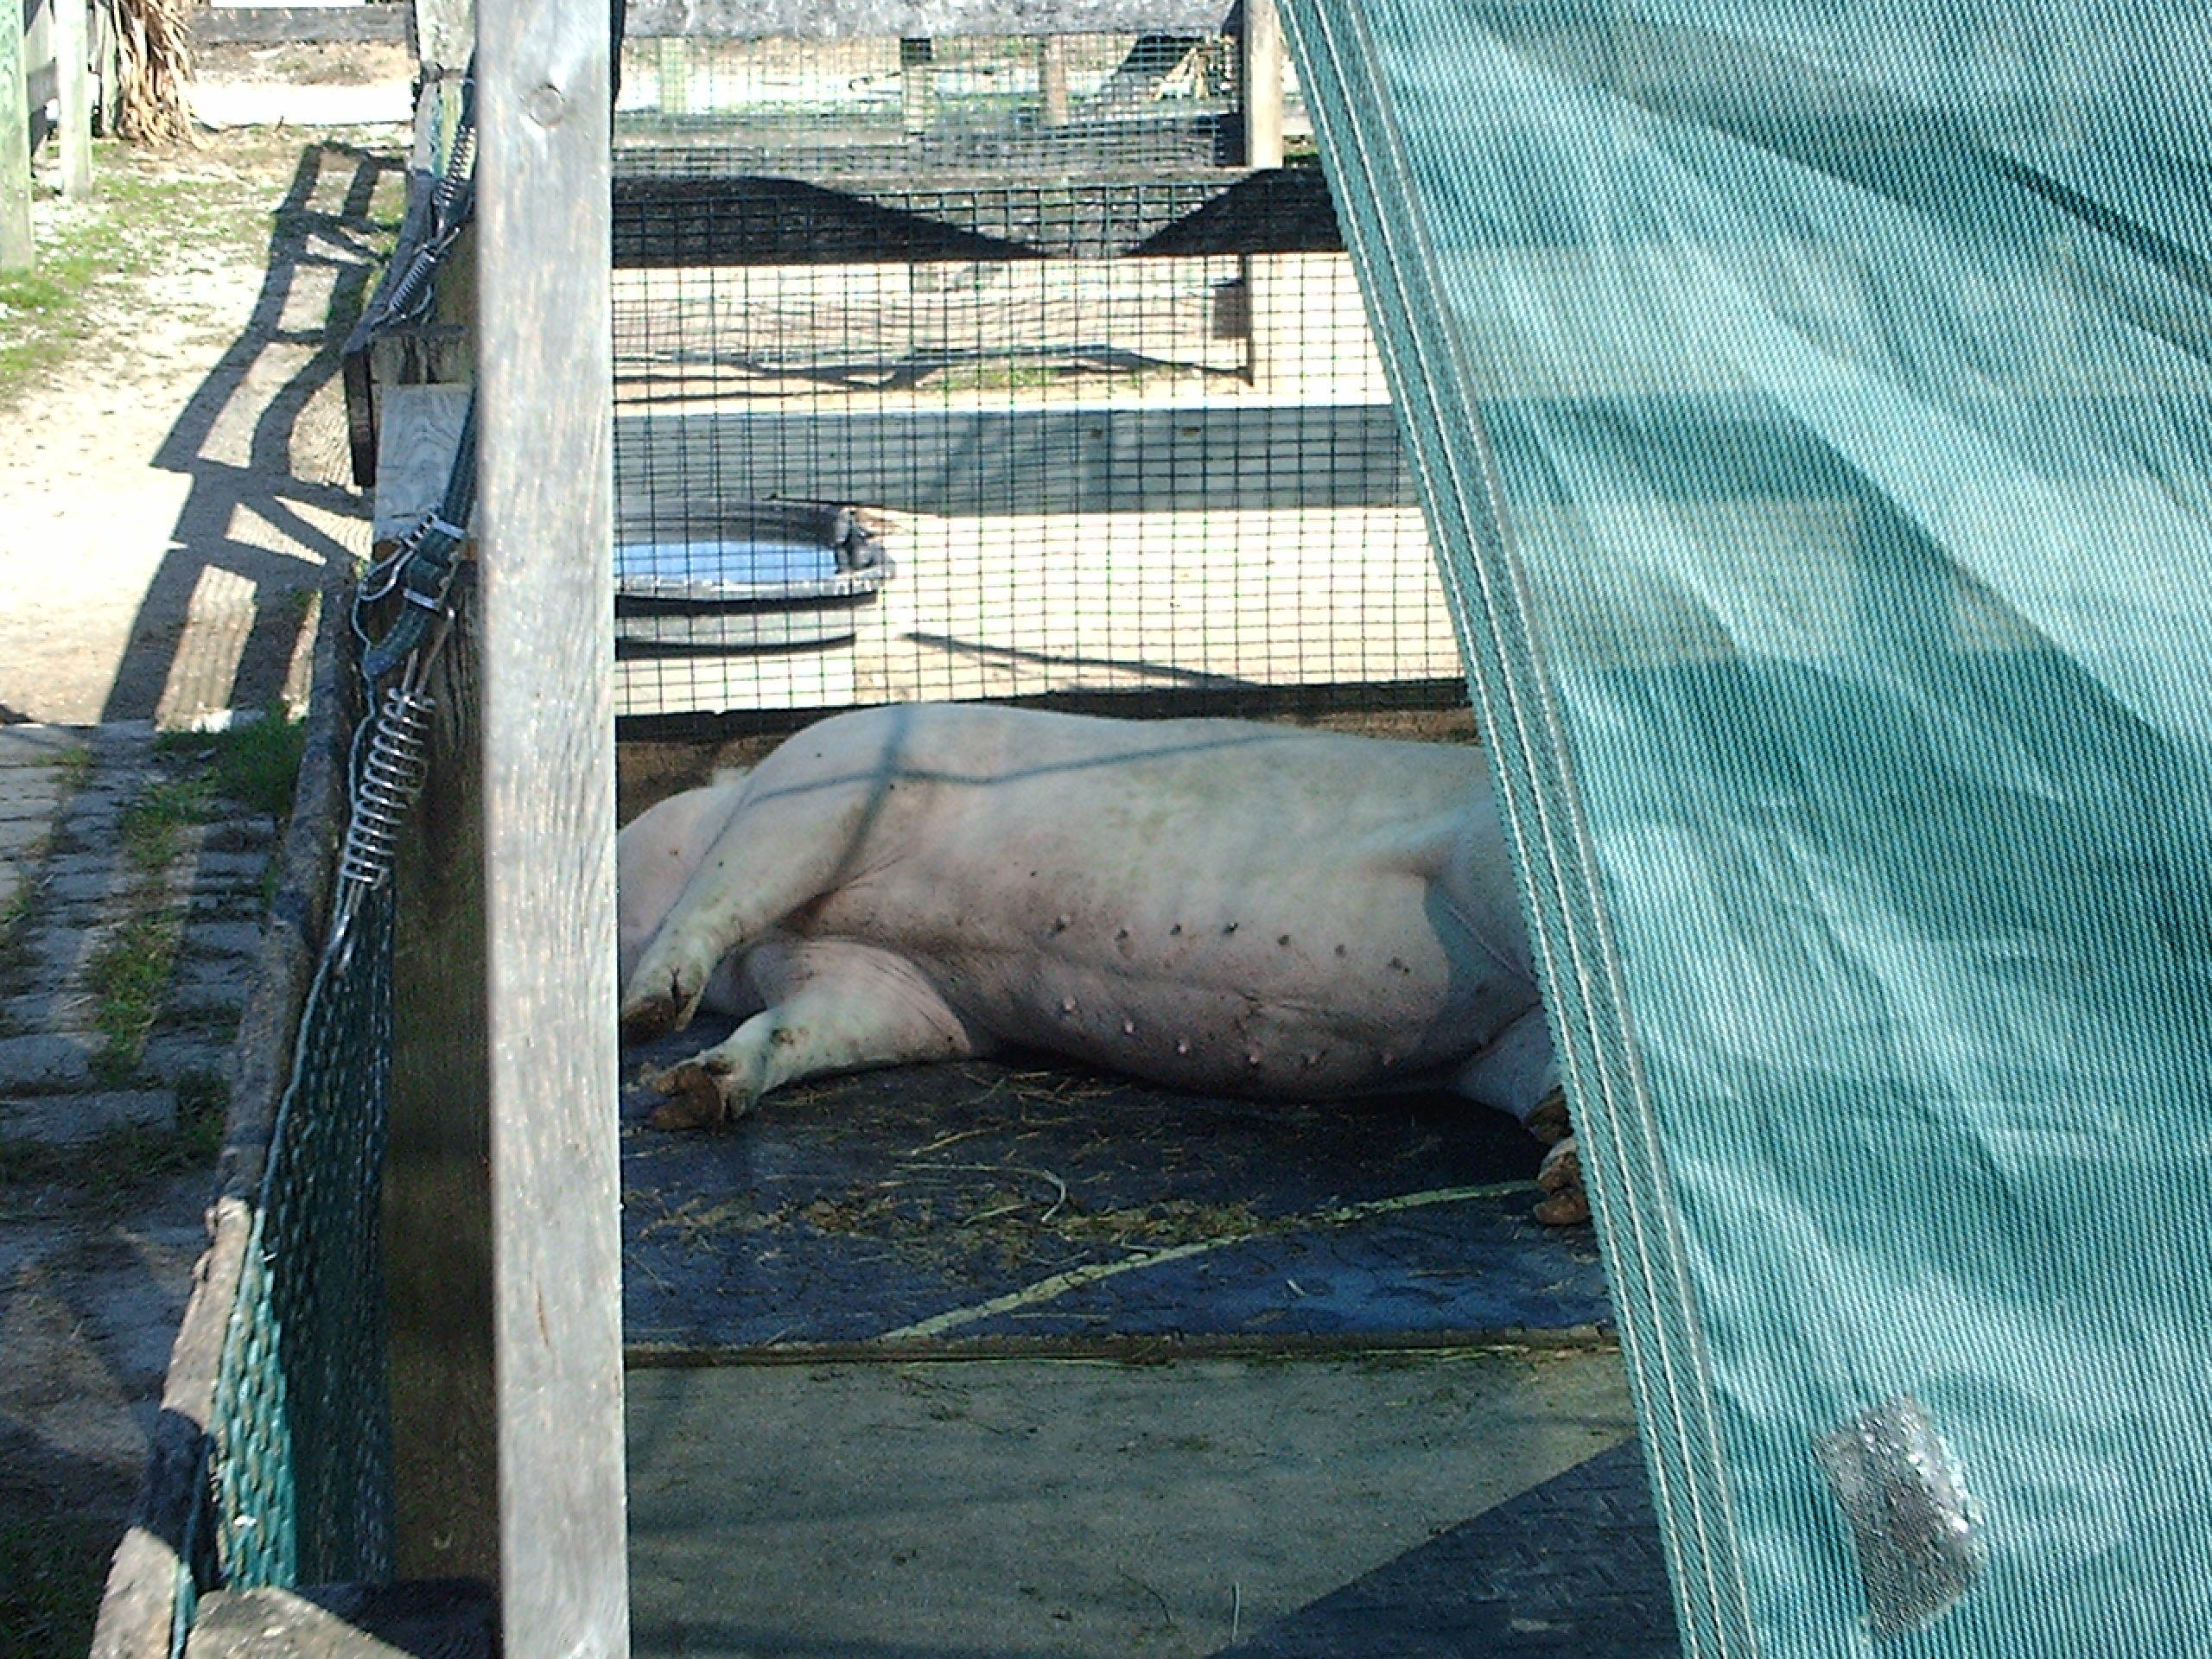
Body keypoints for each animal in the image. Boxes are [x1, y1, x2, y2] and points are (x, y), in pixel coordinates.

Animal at [618, 703, 1588, 1224]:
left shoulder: (839, 773)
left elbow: (726, 887)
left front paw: (645, 1014)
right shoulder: (901, 997)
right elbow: (791, 1028)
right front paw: (691, 1095)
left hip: (1500, 875)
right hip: (1495, 1048)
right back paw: (1559, 1166)